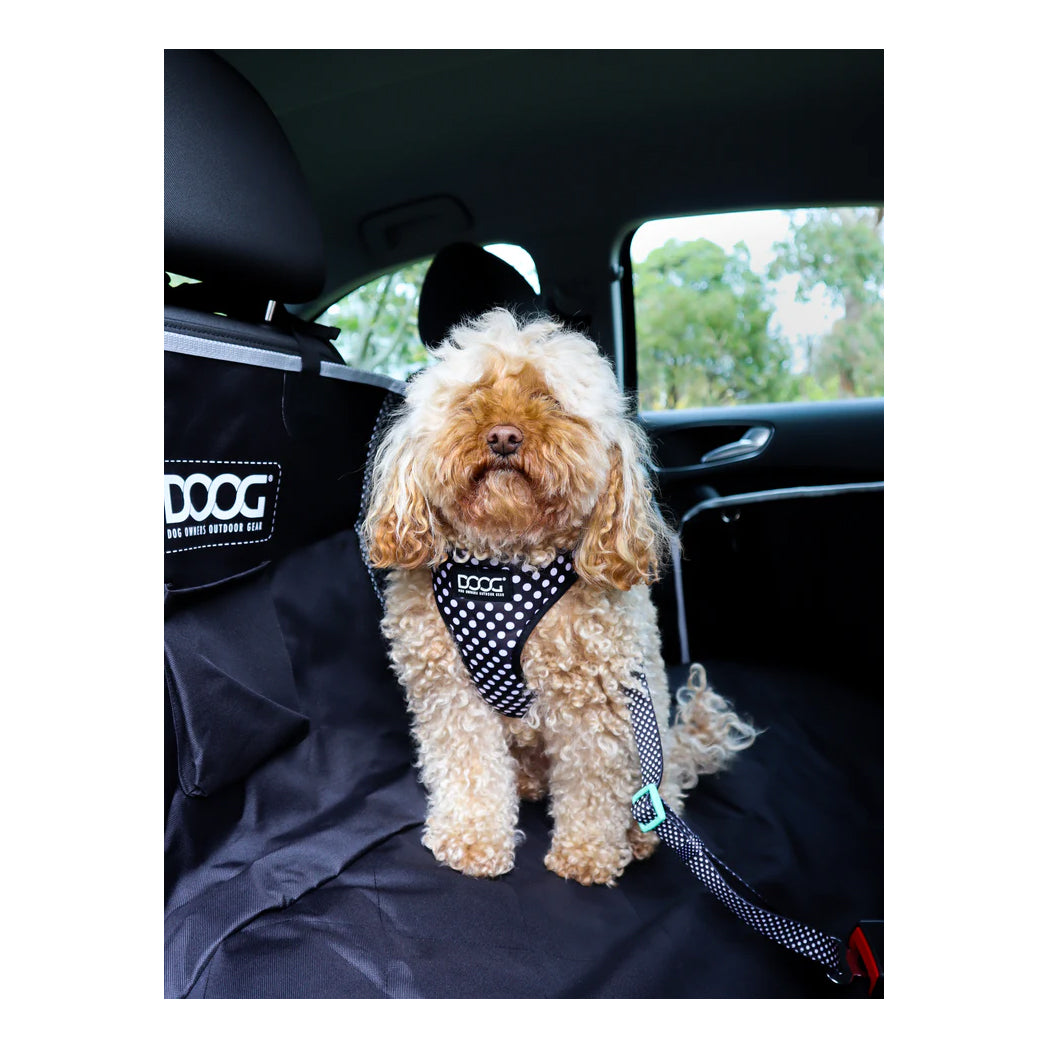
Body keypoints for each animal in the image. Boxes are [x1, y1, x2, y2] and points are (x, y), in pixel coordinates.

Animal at [363, 309, 757, 886]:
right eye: (472, 398)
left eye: (548, 400)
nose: (504, 436)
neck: (502, 568)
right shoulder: (451, 695)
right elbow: (470, 768)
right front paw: (473, 839)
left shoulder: (598, 705)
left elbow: (593, 787)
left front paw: (588, 854)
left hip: (649, 734)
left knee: (657, 795)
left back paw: (640, 833)